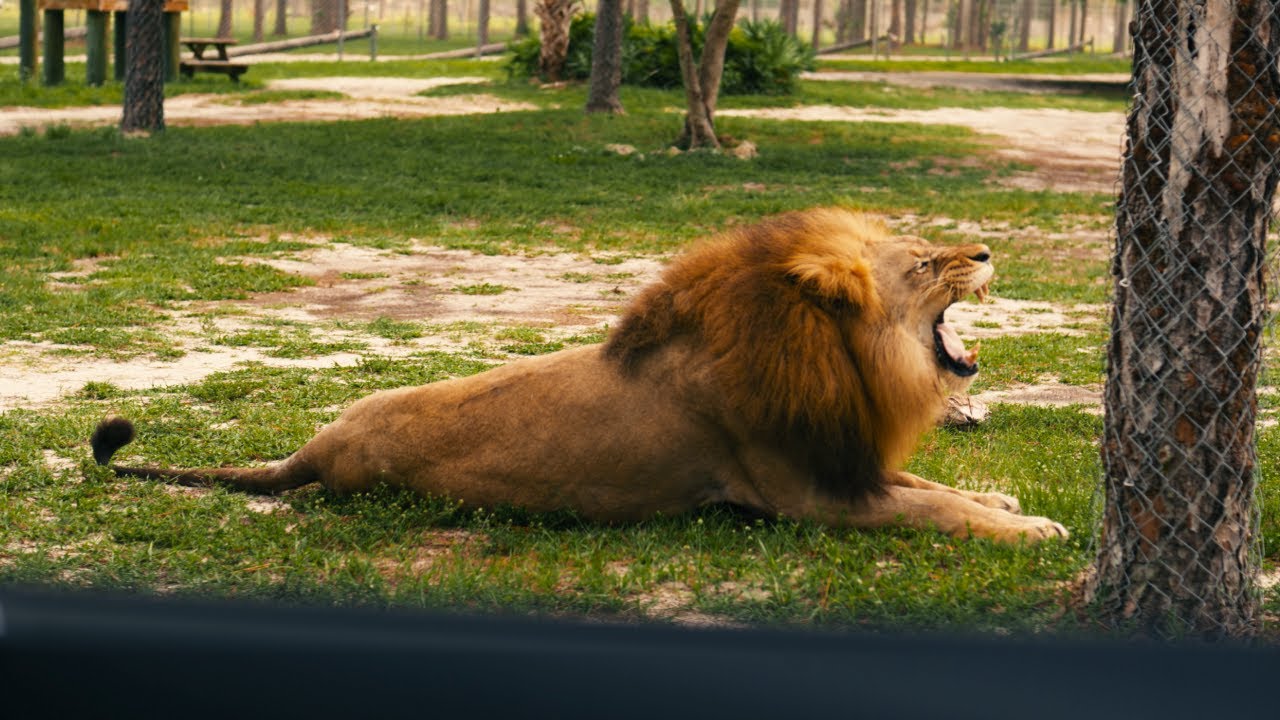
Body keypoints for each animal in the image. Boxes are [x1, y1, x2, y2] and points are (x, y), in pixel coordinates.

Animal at [91, 208, 1067, 544]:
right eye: (927, 262)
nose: (986, 251)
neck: (848, 365)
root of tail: (315, 449)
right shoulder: (809, 496)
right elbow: (932, 508)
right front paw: (1037, 529)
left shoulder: (843, 460)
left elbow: (932, 483)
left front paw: (1009, 500)